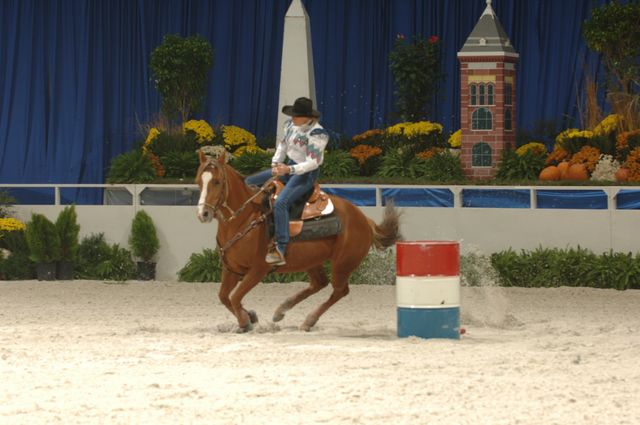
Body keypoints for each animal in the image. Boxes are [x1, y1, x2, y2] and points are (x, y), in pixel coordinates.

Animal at [195, 151, 400, 332]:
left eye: (217, 181)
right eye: (198, 182)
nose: (203, 214)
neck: (246, 218)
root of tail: (364, 219)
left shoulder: (258, 270)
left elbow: (235, 297)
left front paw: (245, 322)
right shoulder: (231, 269)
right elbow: (224, 297)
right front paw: (250, 316)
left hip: (343, 264)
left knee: (340, 291)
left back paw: (308, 320)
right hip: (311, 260)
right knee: (319, 283)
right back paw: (281, 310)